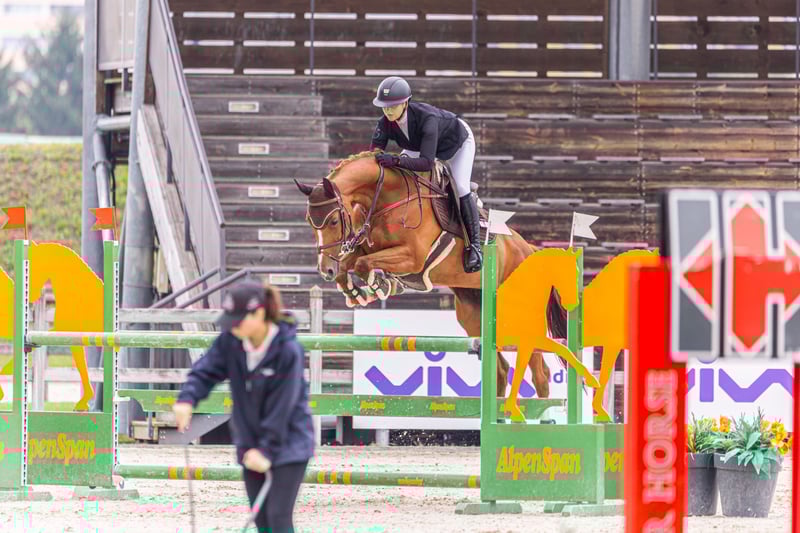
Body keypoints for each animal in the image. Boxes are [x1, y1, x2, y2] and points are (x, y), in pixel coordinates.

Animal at [294, 150, 600, 407]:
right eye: (310, 222)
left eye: (334, 221)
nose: (324, 270)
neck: (385, 199)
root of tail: (528, 250)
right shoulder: (362, 245)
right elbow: (352, 262)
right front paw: (357, 291)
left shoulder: (412, 257)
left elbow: (362, 263)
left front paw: (379, 285)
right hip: (475, 315)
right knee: (501, 370)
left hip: (520, 318)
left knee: (540, 373)